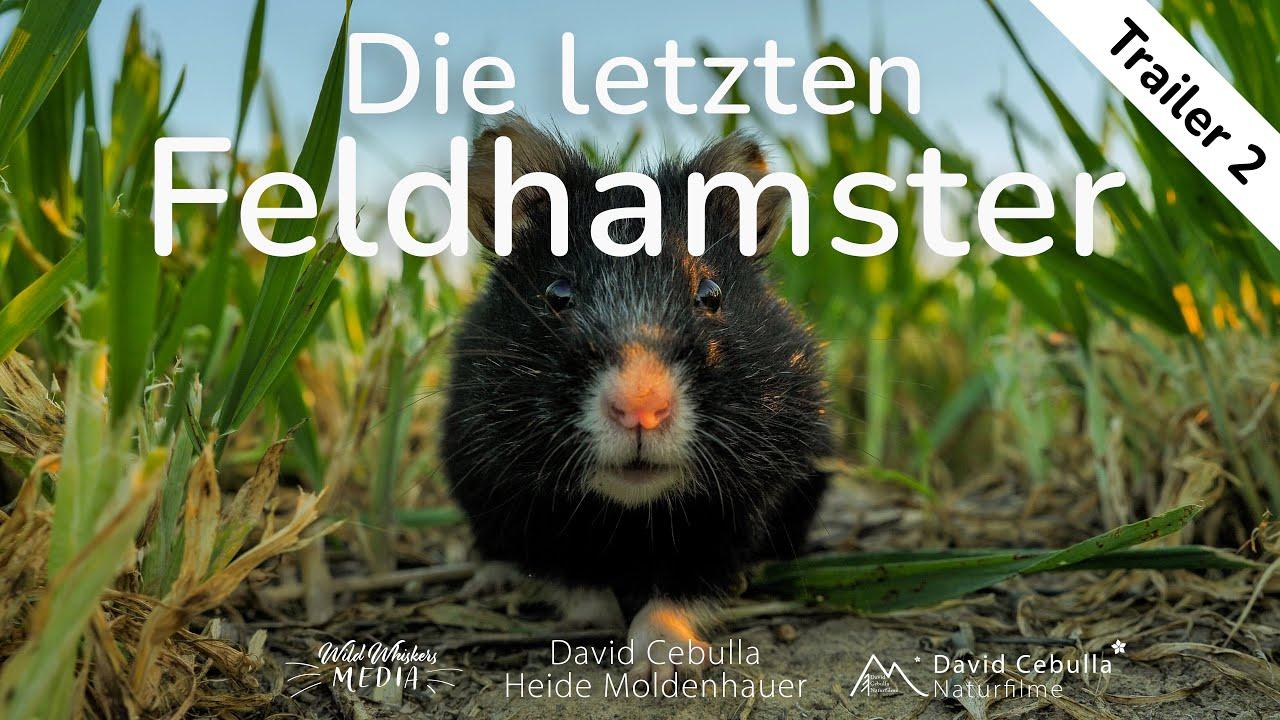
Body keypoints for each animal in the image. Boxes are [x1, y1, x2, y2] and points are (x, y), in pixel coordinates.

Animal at [443, 116, 832, 679]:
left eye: (711, 295)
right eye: (557, 296)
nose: (640, 411)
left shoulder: (749, 499)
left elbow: (690, 583)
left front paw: (666, 668)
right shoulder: (509, 486)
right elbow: (565, 567)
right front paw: (595, 619)